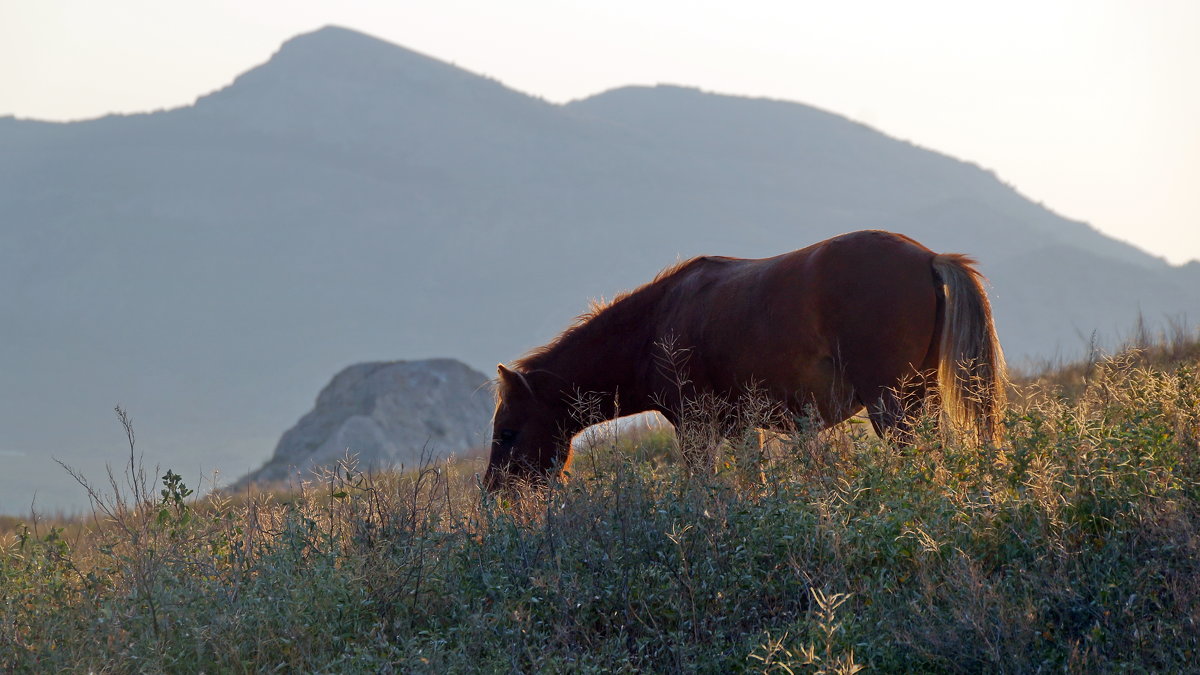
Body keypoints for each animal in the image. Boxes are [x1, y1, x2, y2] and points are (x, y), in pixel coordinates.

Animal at [482, 229, 1008, 487]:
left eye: (507, 433)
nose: (495, 493)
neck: (655, 325)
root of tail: (930, 258)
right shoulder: (738, 427)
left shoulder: (695, 427)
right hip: (917, 398)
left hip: (892, 403)